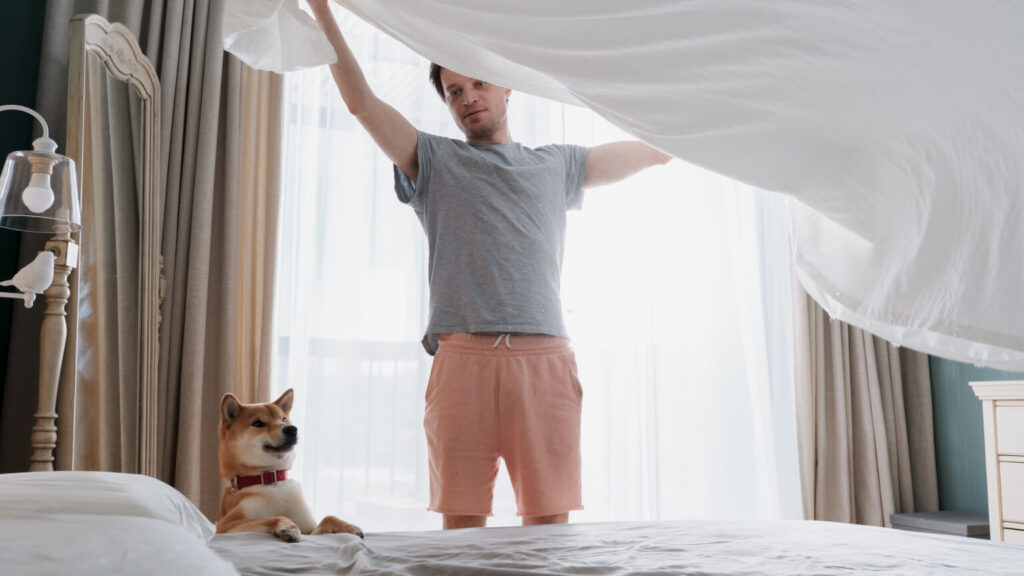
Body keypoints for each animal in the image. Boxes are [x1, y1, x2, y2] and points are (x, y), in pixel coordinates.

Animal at [214, 387, 362, 541]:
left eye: (283, 419)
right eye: (258, 423)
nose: (292, 429)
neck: (272, 480)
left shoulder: (310, 531)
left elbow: (328, 517)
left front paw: (348, 526)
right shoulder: (225, 525)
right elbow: (274, 517)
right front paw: (288, 527)